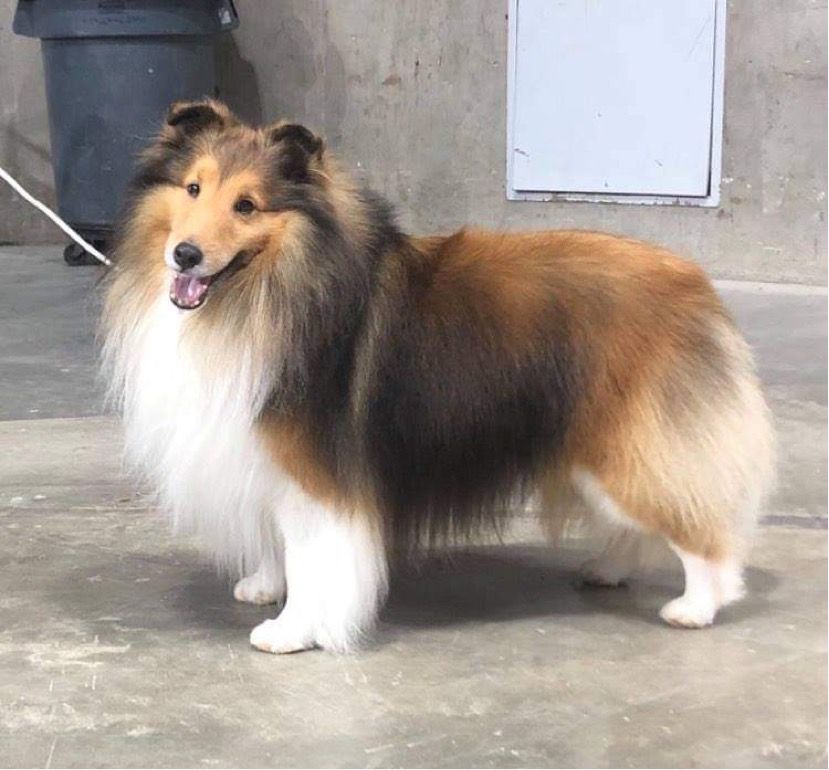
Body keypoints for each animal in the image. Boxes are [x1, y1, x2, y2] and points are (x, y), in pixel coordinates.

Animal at [101, 99, 774, 653]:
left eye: (246, 205)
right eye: (192, 188)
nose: (185, 255)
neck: (269, 292)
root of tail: (695, 284)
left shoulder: (319, 476)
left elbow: (313, 559)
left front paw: (294, 630)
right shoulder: (266, 458)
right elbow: (277, 542)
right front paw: (265, 585)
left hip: (627, 449)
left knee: (701, 531)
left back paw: (697, 605)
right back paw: (608, 569)